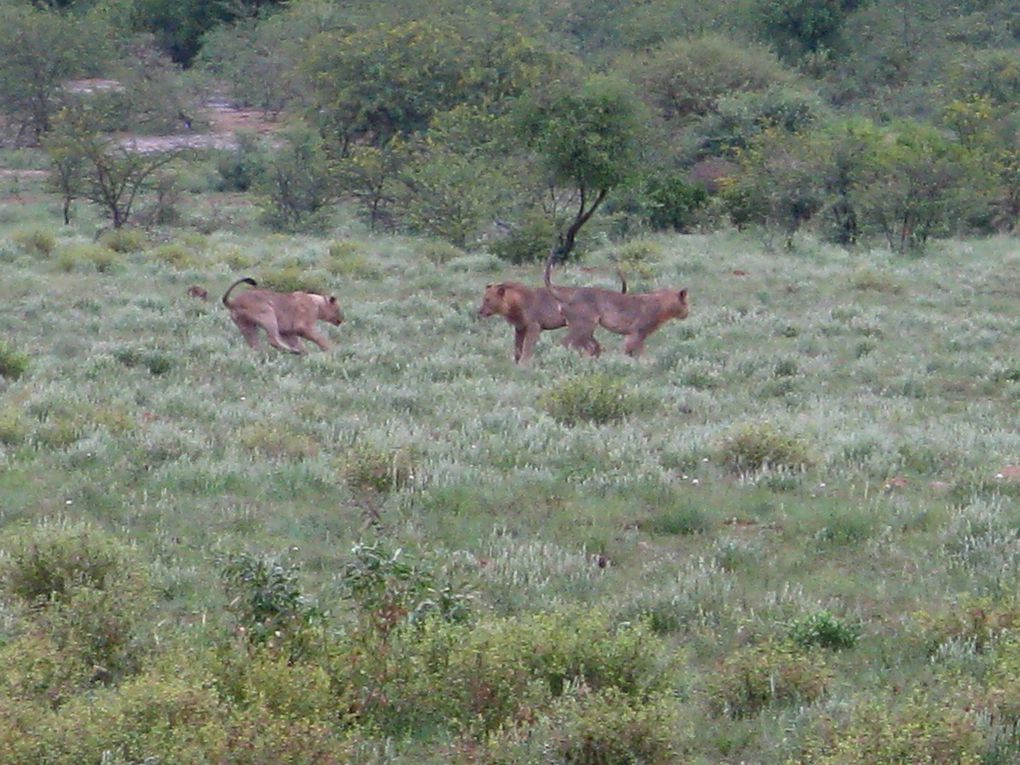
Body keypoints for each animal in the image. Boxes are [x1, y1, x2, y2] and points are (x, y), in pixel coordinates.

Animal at [481, 271, 624, 363]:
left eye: (487, 299)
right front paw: (516, 364)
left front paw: (523, 366)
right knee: (596, 346)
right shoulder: (520, 328)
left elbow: (527, 349)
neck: (515, 304)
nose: (479, 311)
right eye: (484, 298)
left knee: (592, 347)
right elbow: (517, 349)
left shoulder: (534, 326)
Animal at [546, 255, 689, 357]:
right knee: (563, 343)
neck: (662, 305)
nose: (688, 313)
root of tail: (569, 296)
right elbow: (637, 353)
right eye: (686, 302)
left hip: (586, 330)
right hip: (583, 327)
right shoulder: (636, 333)